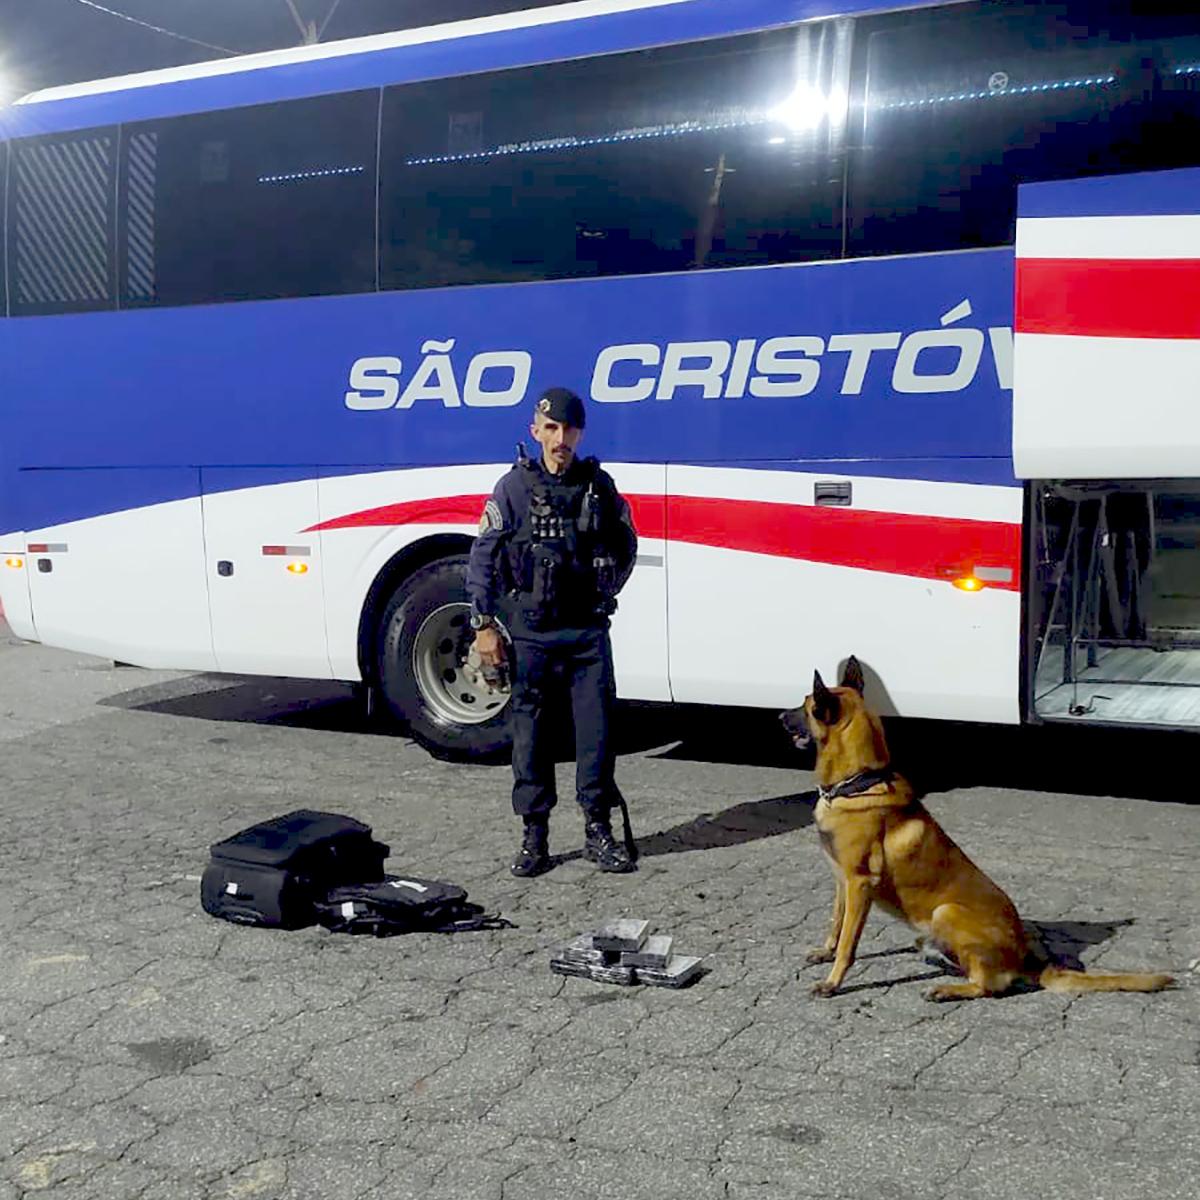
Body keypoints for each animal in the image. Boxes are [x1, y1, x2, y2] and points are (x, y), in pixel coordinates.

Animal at [777, 662, 1171, 998]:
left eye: (805, 705)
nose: (779, 717)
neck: (859, 783)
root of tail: (1029, 959)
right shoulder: (842, 880)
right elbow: (836, 923)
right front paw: (826, 952)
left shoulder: (859, 883)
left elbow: (849, 943)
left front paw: (832, 982)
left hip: (946, 912)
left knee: (990, 985)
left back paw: (948, 988)